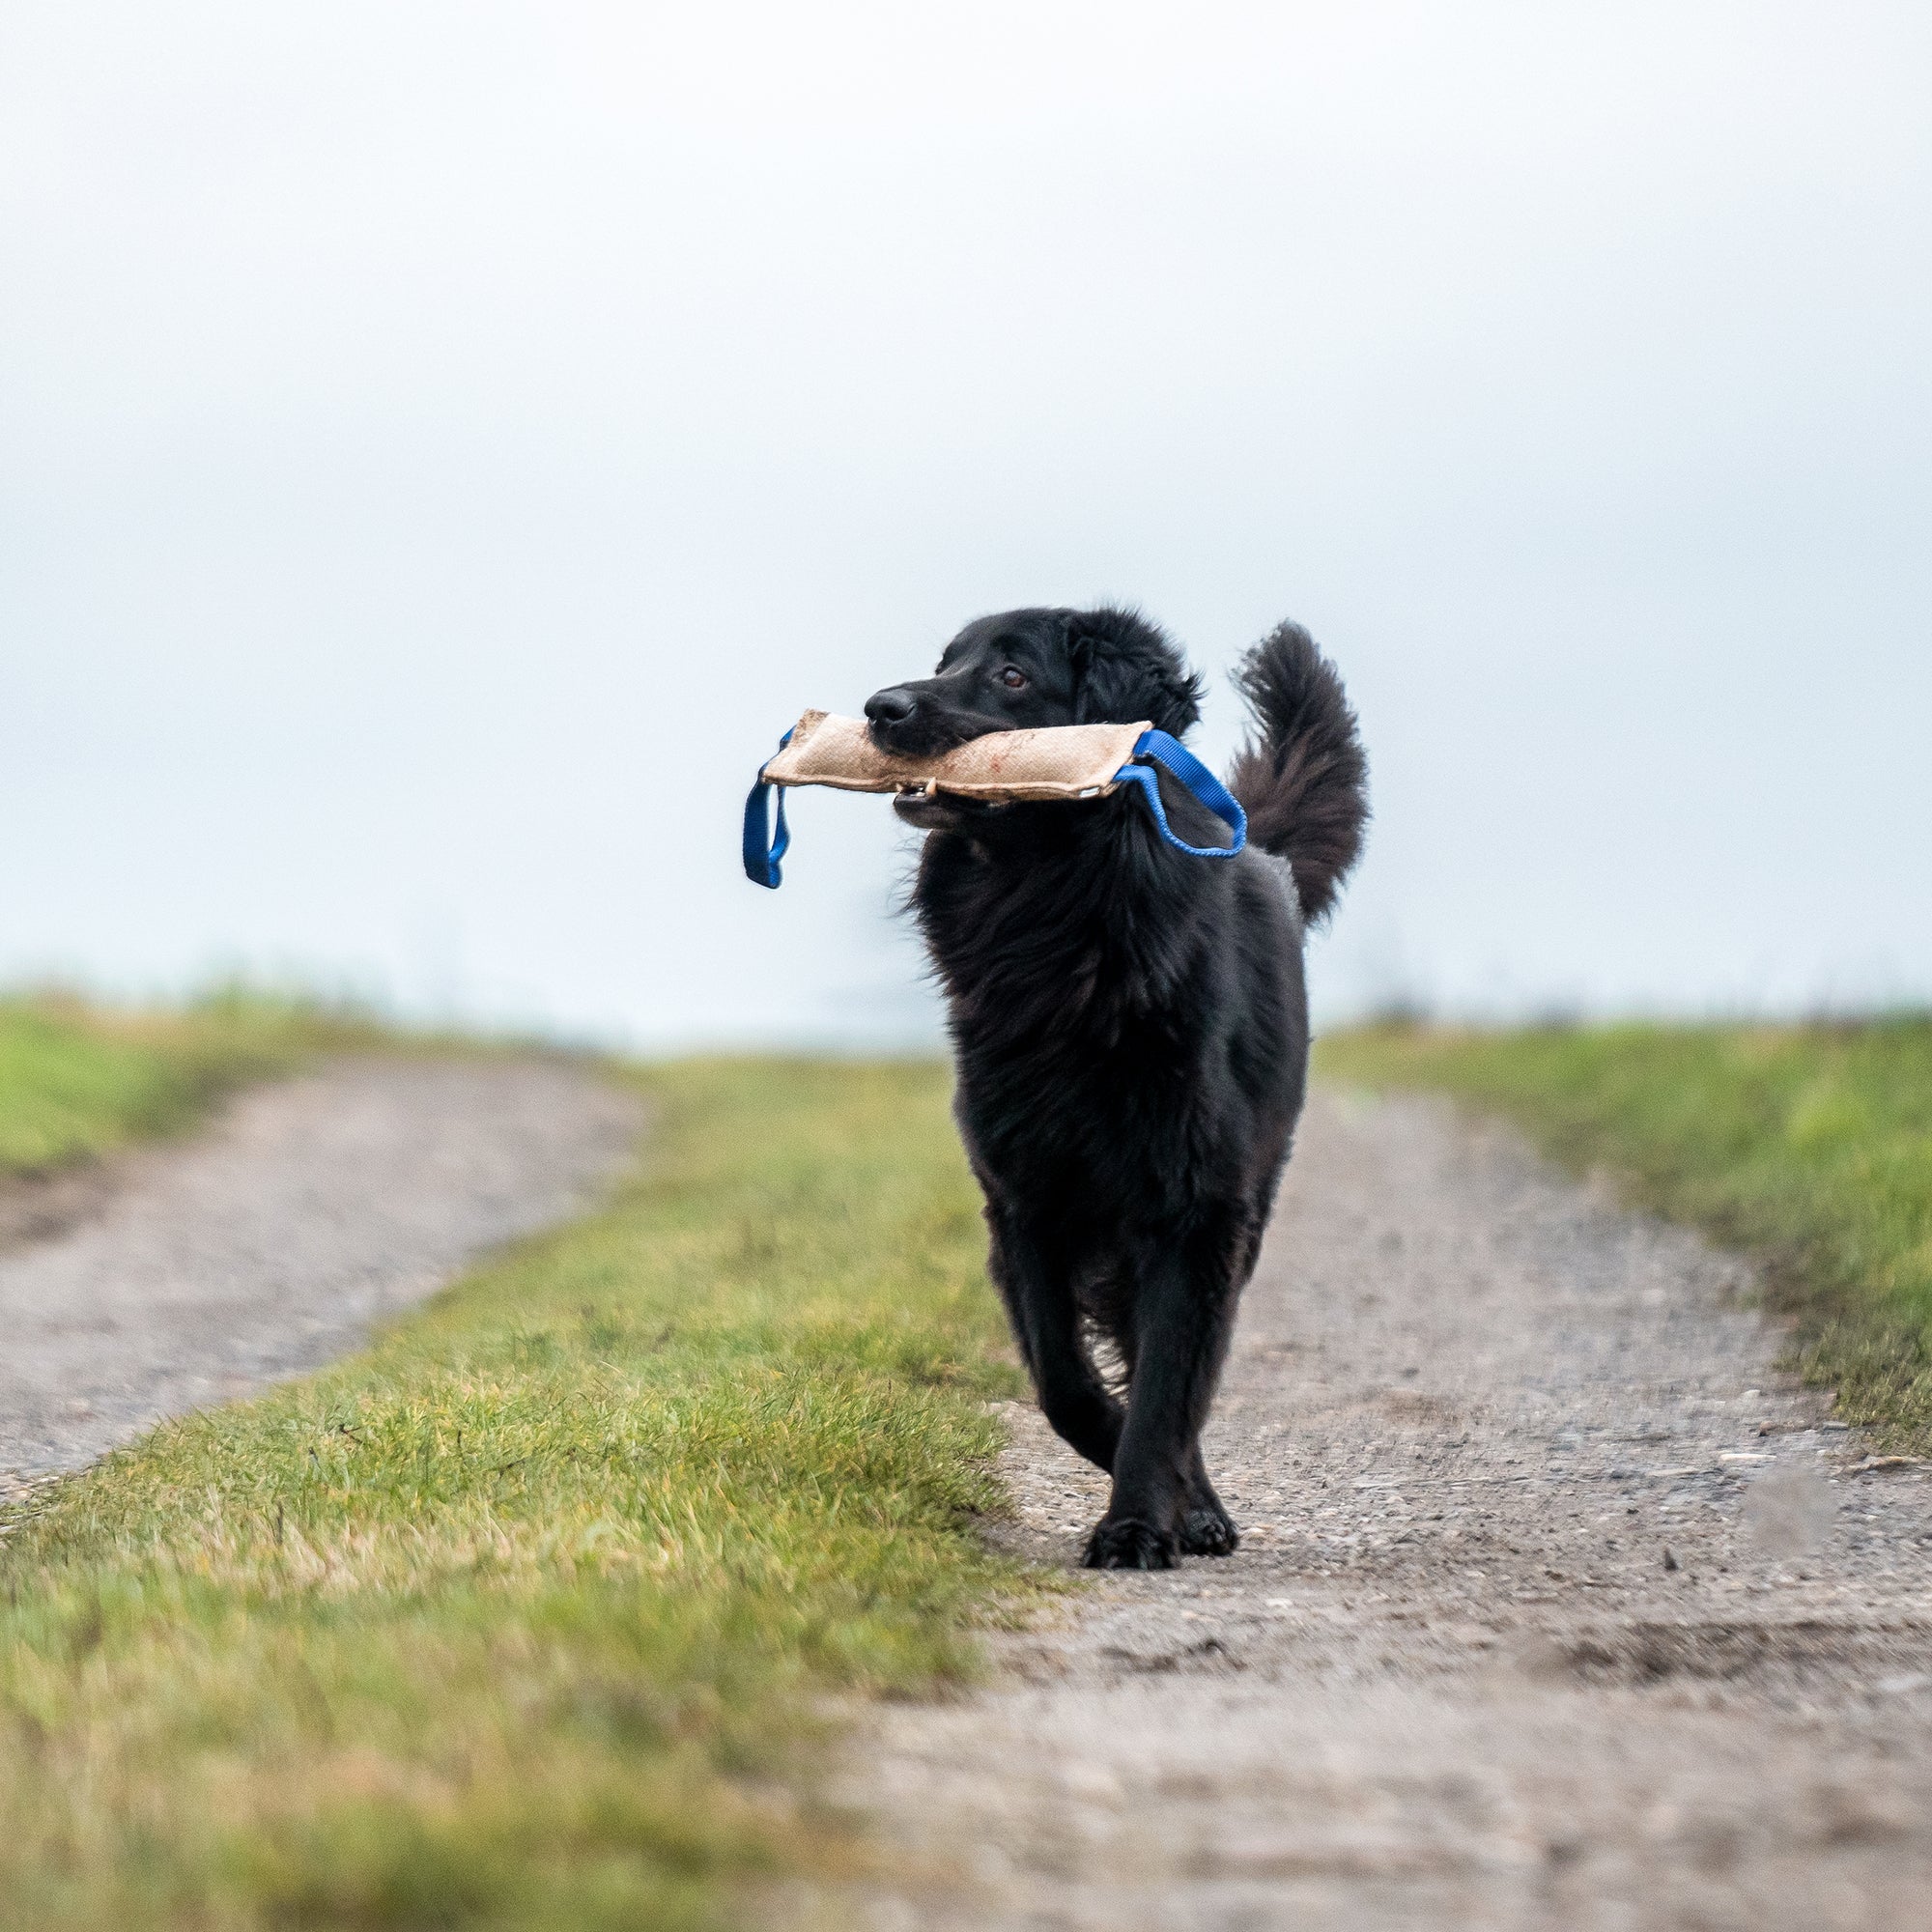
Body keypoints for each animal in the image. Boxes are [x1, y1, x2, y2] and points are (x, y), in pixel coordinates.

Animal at [869, 603, 1368, 1569]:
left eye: (1013, 675)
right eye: (944, 662)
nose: (880, 707)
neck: (1058, 912)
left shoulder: (1193, 1210)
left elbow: (1168, 1385)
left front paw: (1141, 1521)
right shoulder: (1024, 1203)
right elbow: (1068, 1384)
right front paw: (1158, 1497)